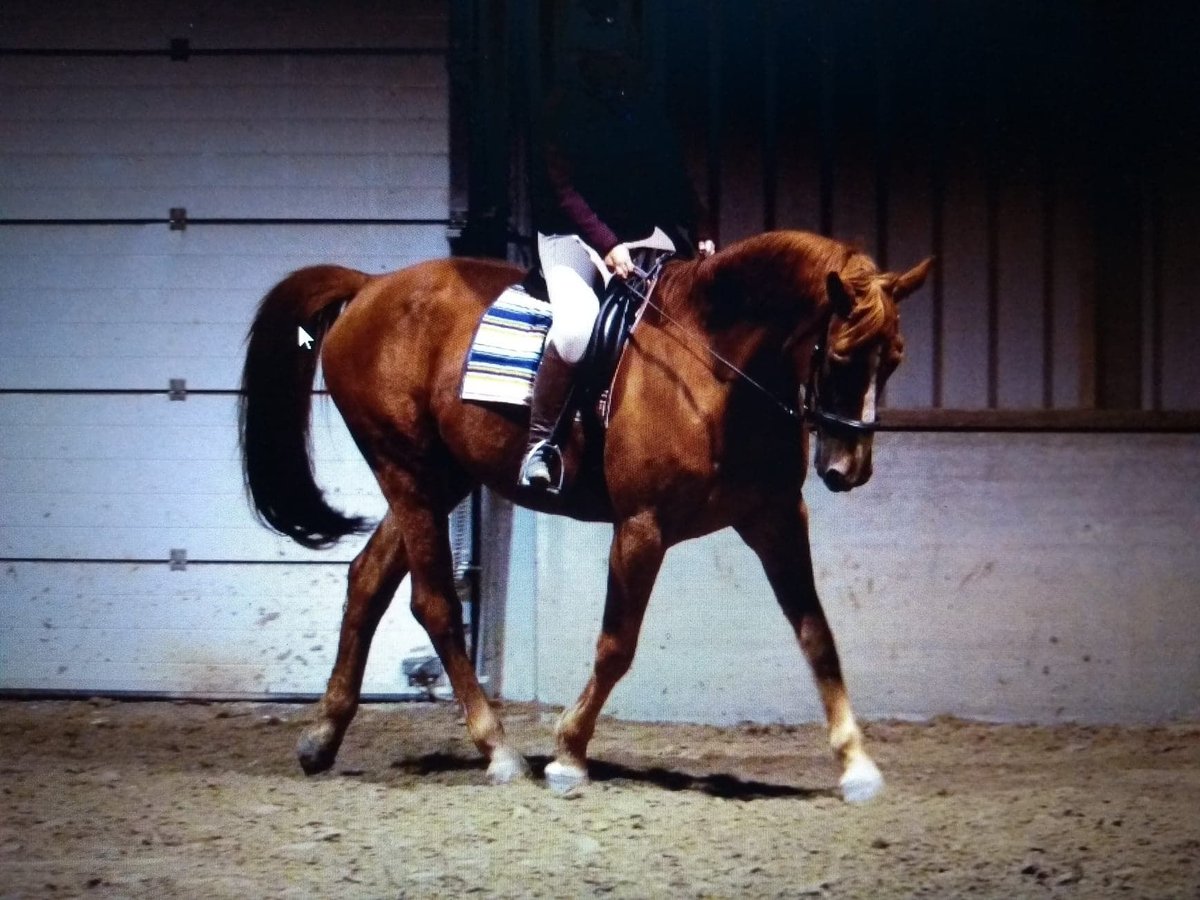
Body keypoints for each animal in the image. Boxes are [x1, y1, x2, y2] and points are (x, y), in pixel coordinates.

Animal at [238, 230, 931, 801]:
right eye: (840, 357)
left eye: (895, 358)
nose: (848, 469)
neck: (714, 368)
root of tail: (369, 286)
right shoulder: (643, 527)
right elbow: (616, 645)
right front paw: (569, 756)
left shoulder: (777, 517)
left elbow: (817, 636)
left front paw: (858, 765)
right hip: (405, 471)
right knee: (433, 604)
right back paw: (499, 751)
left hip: (439, 481)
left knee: (367, 581)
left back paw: (321, 739)